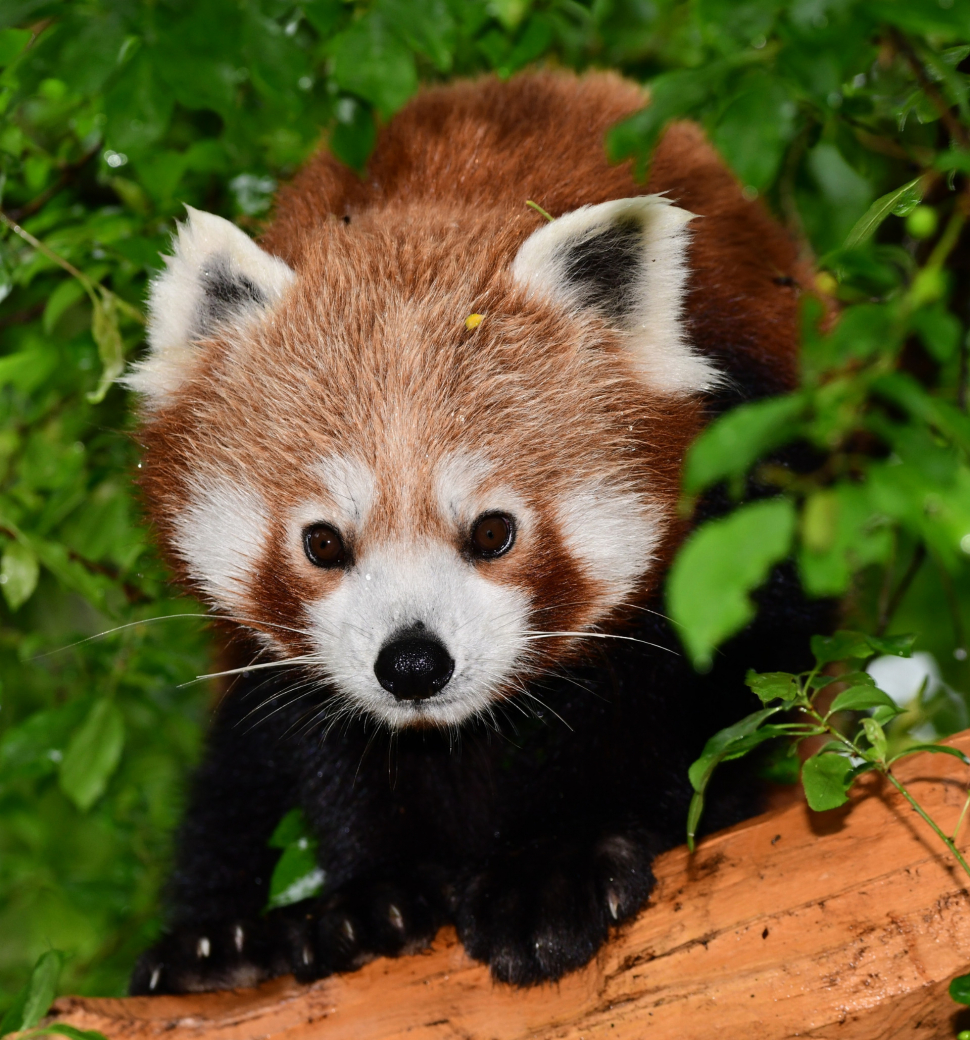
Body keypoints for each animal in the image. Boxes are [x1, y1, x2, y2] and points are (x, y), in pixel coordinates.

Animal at [126, 69, 819, 994]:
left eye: (493, 532)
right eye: (323, 543)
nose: (413, 665)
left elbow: (699, 692)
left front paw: (557, 866)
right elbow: (320, 738)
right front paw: (373, 893)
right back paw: (216, 948)